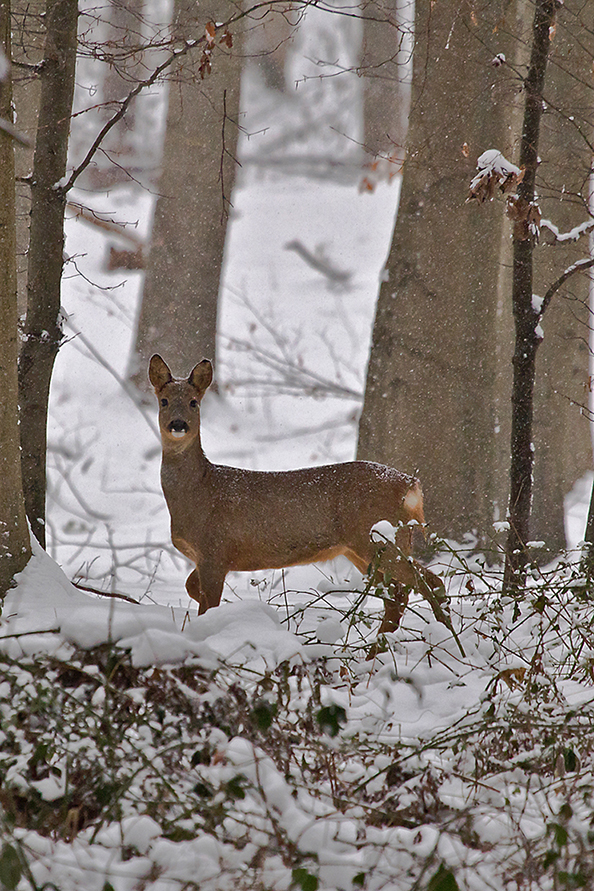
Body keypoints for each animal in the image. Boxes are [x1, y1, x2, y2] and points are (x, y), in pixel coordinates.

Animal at [149, 356, 448, 640]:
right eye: (164, 401)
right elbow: (191, 587)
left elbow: (207, 606)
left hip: (378, 538)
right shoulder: (207, 558)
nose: (178, 424)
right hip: (366, 548)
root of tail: (410, 485)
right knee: (403, 593)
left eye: (194, 402)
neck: (201, 491)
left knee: (422, 586)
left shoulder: (215, 551)